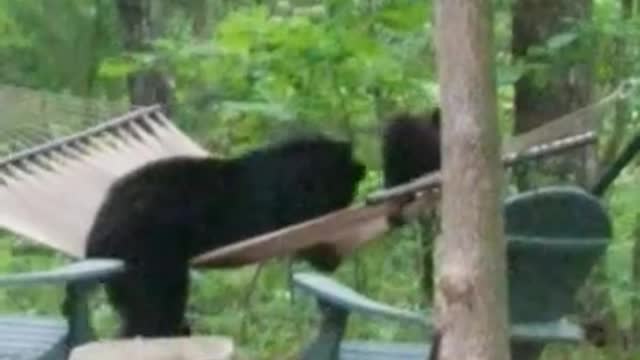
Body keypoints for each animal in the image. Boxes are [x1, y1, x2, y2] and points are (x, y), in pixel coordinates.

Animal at [85, 135, 364, 338]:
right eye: (345, 196)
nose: (346, 208)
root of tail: (96, 234)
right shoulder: (273, 205)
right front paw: (328, 253)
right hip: (150, 246)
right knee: (155, 299)